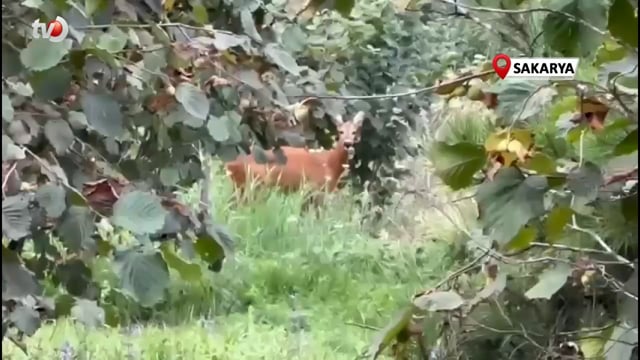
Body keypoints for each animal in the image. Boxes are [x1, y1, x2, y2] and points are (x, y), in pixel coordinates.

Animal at [224, 111, 364, 204]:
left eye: (354, 132)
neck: (329, 164)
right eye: (340, 131)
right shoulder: (314, 189)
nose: (347, 143)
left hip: (240, 188)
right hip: (256, 186)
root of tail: (230, 165)